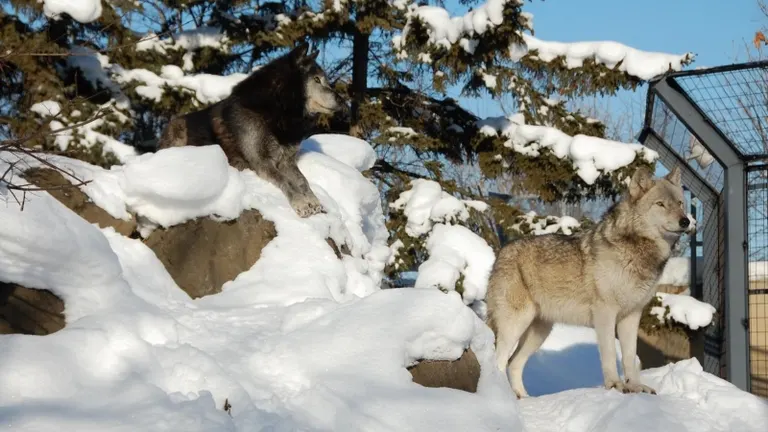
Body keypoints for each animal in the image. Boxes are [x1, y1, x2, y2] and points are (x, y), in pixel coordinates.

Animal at [156, 43, 344, 218]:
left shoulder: (287, 161)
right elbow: (286, 181)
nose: (342, 101)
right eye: (317, 80)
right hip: (178, 129)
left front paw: (313, 200)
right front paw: (302, 203)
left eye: (325, 80)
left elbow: (302, 180)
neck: (275, 111)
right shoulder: (261, 163)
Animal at [488, 165, 692, 398]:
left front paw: (635, 387)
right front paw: (615, 385)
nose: (686, 221)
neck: (637, 253)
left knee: (513, 364)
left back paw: (523, 398)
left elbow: (630, 357)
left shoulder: (631, 316)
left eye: (680, 204)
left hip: (539, 332)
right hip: (516, 324)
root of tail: (501, 252)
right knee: (499, 361)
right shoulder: (605, 313)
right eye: (660, 204)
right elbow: (610, 354)